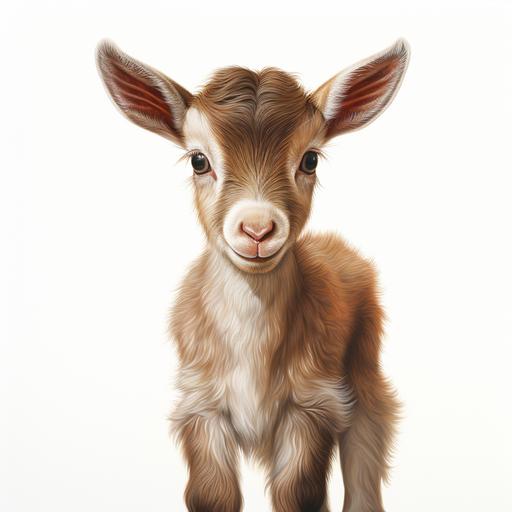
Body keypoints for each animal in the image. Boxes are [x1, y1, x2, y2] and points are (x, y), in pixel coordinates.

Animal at [97, 40, 408, 512]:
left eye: (310, 159)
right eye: (199, 160)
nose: (257, 229)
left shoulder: (313, 402)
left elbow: (300, 494)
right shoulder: (201, 404)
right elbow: (212, 494)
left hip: (364, 372)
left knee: (367, 450)